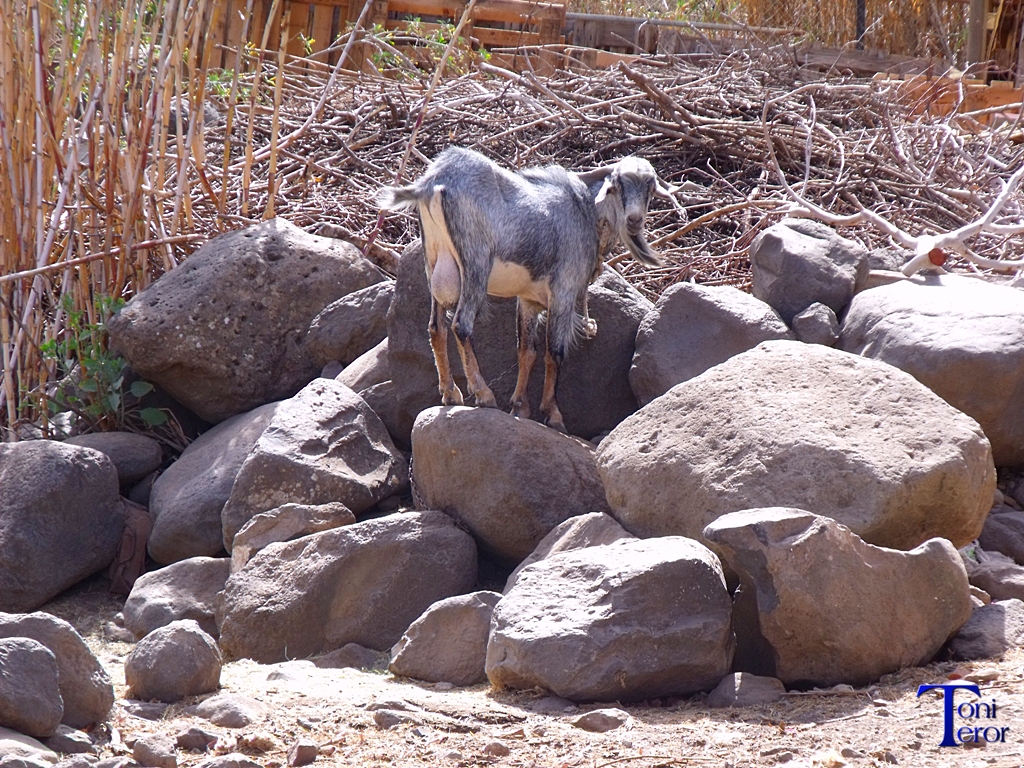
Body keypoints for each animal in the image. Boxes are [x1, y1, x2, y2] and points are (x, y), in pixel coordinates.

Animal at [380, 144, 667, 434]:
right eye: (617, 185)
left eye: (650, 187)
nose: (634, 219)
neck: (586, 210)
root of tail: (433, 183)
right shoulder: (563, 291)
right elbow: (554, 353)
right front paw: (553, 414)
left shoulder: (528, 299)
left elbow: (526, 351)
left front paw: (520, 407)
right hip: (475, 264)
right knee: (461, 325)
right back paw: (483, 394)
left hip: (435, 260)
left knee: (436, 328)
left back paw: (451, 394)